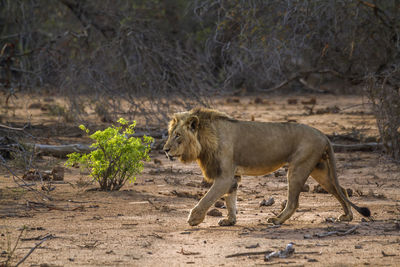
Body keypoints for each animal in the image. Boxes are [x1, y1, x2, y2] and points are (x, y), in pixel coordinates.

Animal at [164, 108, 370, 227]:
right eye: (170, 134)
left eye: (178, 135)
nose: (165, 150)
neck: (206, 137)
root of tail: (324, 135)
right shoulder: (232, 178)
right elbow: (230, 201)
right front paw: (230, 221)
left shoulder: (224, 177)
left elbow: (207, 198)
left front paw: (193, 219)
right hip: (320, 170)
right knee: (341, 189)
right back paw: (347, 217)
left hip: (298, 168)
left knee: (294, 202)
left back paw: (277, 220)